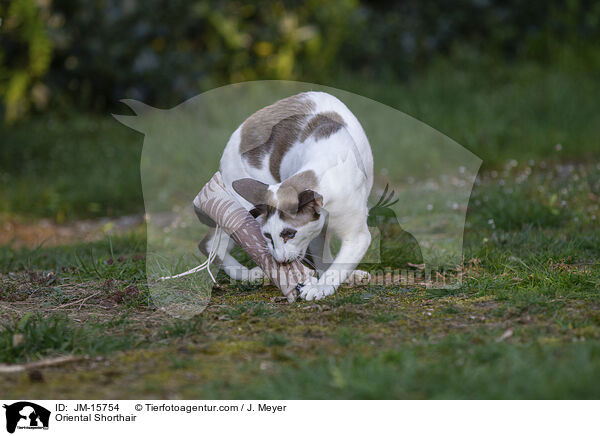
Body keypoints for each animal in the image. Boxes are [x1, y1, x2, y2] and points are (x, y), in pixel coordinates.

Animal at [199, 91, 372, 300]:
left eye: (290, 234)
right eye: (267, 235)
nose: (280, 261)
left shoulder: (356, 236)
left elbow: (334, 266)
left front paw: (319, 287)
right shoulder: (319, 231)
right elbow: (324, 260)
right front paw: (317, 285)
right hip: (243, 211)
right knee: (207, 243)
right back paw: (247, 274)